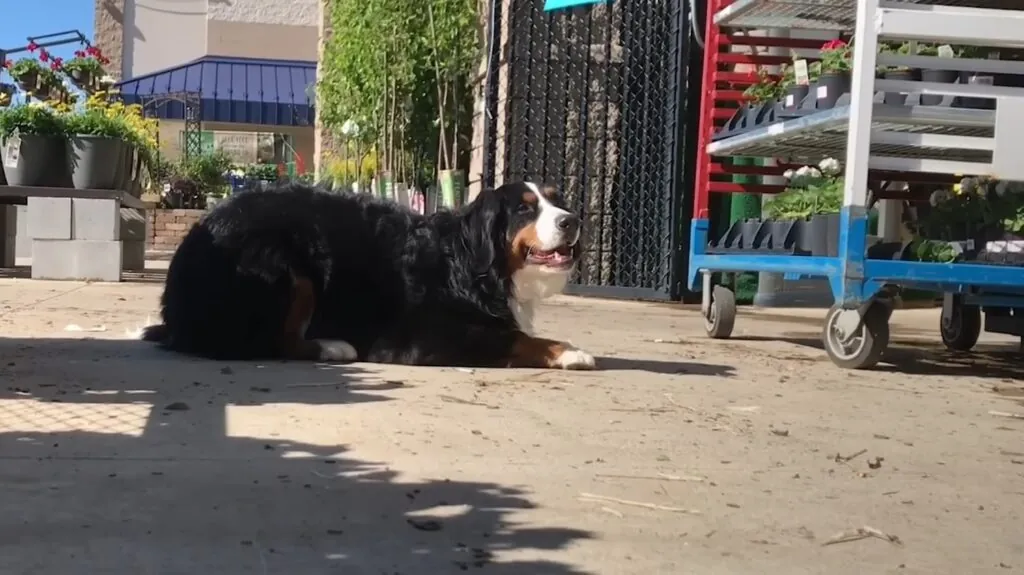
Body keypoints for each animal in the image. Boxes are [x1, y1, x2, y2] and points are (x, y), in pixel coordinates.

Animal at [140, 180, 598, 366]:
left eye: (557, 200)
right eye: (524, 208)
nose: (572, 220)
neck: (473, 267)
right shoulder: (430, 336)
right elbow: (518, 339)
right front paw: (570, 352)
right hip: (286, 264)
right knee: (268, 342)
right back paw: (332, 347)